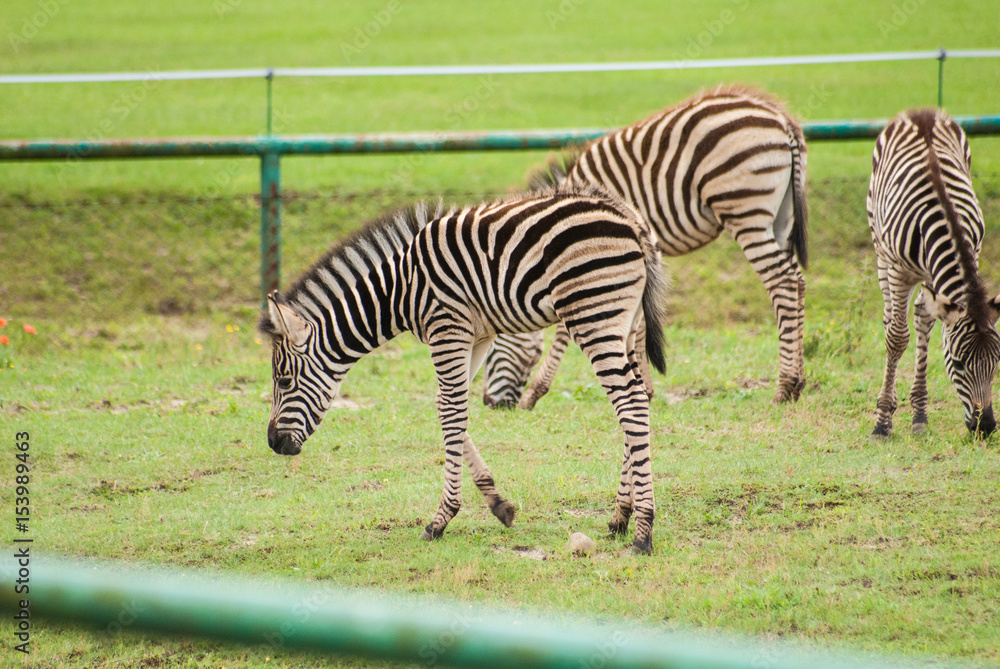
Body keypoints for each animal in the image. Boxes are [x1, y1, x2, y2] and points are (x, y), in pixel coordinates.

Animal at [259, 183, 669, 554]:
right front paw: (498, 505)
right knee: (641, 396)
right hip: (623, 322)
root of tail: (631, 221)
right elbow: (445, 406)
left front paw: (441, 519)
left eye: (284, 380)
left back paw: (643, 532)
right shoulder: (477, 334)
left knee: (631, 402)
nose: (273, 443)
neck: (399, 291)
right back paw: (620, 516)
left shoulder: (447, 327)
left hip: (592, 315)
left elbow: (452, 410)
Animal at [482, 84, 808, 410]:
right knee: (797, 280)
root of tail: (782, 119)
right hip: (780, 216)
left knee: (782, 281)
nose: (490, 403)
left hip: (744, 210)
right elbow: (635, 321)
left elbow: (574, 326)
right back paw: (798, 384)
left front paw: (535, 392)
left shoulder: (586, 259)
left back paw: (784, 388)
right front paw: (646, 388)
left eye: (489, 351)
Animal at [867, 108, 999, 438]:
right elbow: (896, 337)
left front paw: (918, 414)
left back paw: (919, 411)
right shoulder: (899, 271)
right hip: (880, 251)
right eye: (959, 363)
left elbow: (925, 323)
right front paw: (882, 424)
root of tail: (922, 112)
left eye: (997, 362)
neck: (945, 217)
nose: (985, 427)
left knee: (922, 317)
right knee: (890, 319)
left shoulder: (970, 254)